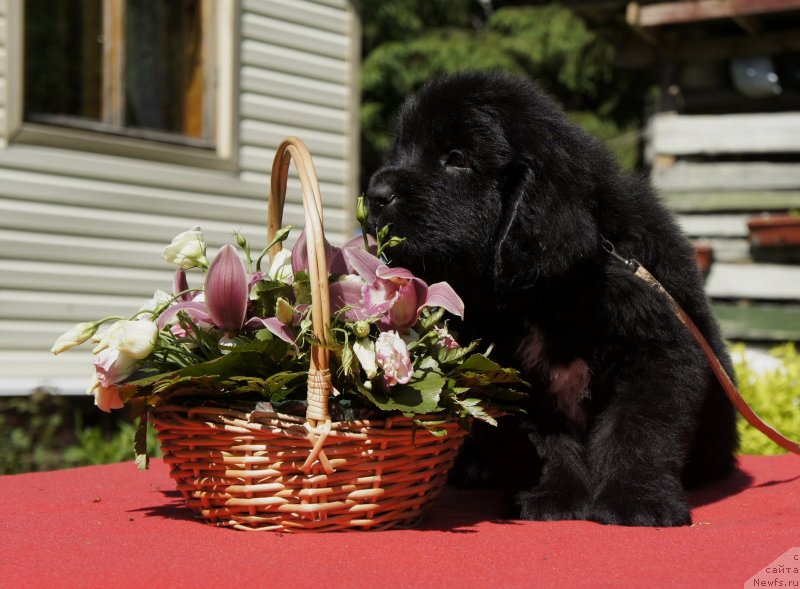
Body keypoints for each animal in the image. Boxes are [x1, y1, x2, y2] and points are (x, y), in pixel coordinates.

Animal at [364, 71, 736, 524]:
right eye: (401, 151)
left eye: (456, 158)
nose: (375, 193)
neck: (548, 293)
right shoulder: (507, 376)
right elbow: (540, 443)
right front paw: (552, 496)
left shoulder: (657, 354)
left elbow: (639, 429)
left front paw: (637, 500)